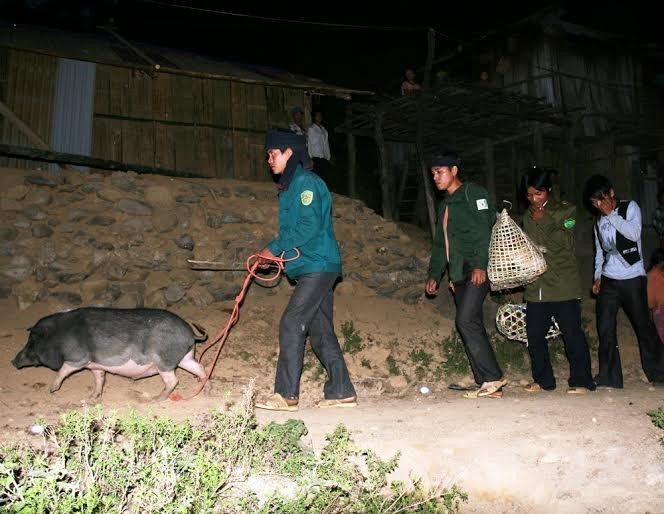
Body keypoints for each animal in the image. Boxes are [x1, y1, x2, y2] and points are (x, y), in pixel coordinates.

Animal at [13, 306, 210, 398]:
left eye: (31, 341)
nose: (13, 361)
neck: (58, 336)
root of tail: (190, 333)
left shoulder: (78, 358)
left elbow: (63, 370)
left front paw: (52, 390)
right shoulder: (95, 365)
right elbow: (99, 378)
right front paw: (93, 397)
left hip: (164, 362)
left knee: (173, 380)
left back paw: (157, 398)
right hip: (184, 358)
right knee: (200, 368)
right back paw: (206, 389)